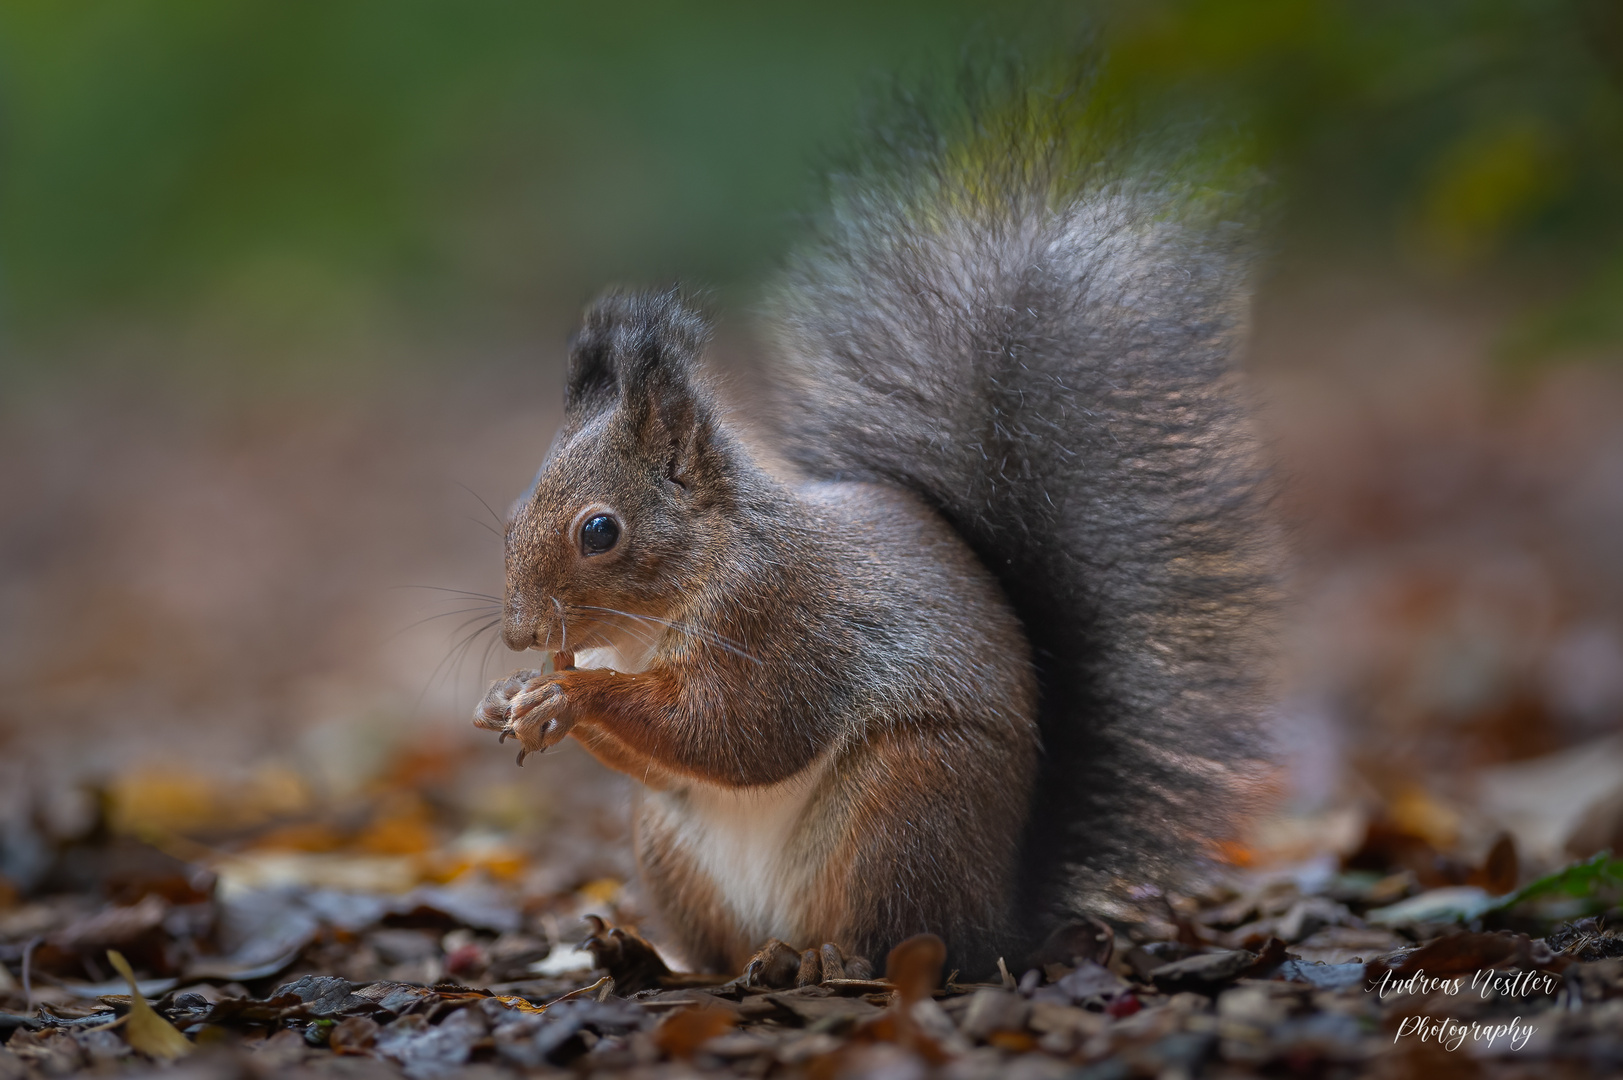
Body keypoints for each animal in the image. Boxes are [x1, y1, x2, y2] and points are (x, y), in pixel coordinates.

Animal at [470, 56, 1278, 974]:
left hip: (905, 805)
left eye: (600, 531)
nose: (521, 634)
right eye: (515, 513)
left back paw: (824, 963)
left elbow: (734, 735)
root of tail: (1002, 914)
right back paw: (649, 957)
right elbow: (682, 761)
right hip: (671, 847)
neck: (692, 578)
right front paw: (506, 698)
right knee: (722, 947)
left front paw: (570, 693)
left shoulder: (780, 622)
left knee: (898, 937)